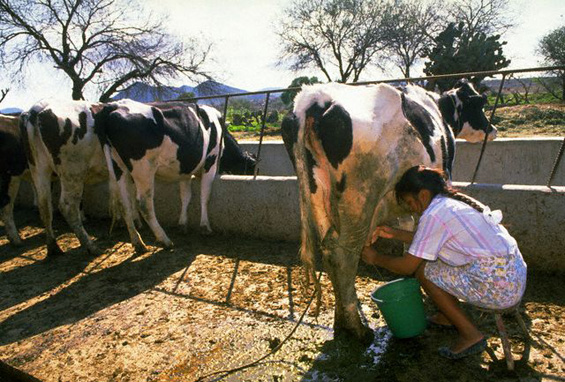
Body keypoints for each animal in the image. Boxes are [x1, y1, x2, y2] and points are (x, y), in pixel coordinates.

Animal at [96, 98, 256, 254]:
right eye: (250, 169)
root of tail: (113, 105)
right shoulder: (210, 162)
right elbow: (205, 195)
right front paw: (205, 226)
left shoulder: (185, 171)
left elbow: (185, 196)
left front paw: (182, 224)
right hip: (143, 168)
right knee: (144, 204)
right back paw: (164, 240)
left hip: (118, 167)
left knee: (125, 204)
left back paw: (138, 243)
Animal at [280, 79, 494, 342]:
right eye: (479, 103)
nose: (492, 129)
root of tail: (314, 99)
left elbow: (406, 231)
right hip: (359, 201)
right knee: (343, 257)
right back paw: (357, 329)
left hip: (318, 198)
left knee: (329, 253)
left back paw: (340, 322)